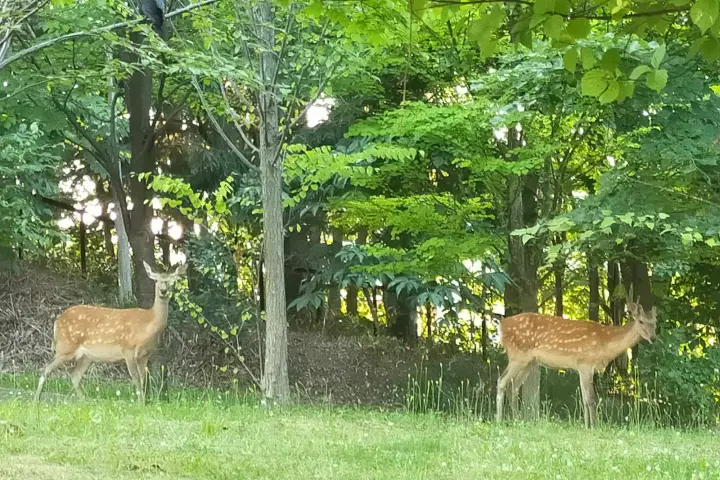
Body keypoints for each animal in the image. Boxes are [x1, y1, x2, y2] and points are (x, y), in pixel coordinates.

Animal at [34, 260, 187, 404]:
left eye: (172, 281)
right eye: (156, 280)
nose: (163, 291)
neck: (147, 325)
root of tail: (57, 321)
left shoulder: (145, 354)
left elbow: (143, 379)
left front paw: (143, 403)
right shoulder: (128, 349)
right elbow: (136, 379)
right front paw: (140, 404)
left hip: (86, 356)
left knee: (74, 376)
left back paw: (85, 401)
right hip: (65, 347)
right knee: (46, 370)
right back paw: (36, 400)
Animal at [496, 286, 660, 430]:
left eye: (655, 323)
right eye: (641, 321)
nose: (653, 338)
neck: (605, 343)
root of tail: (502, 326)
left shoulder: (584, 368)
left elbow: (584, 398)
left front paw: (586, 426)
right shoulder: (585, 363)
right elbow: (591, 398)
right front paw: (594, 426)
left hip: (529, 362)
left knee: (514, 385)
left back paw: (517, 419)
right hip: (517, 355)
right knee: (502, 381)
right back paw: (500, 420)